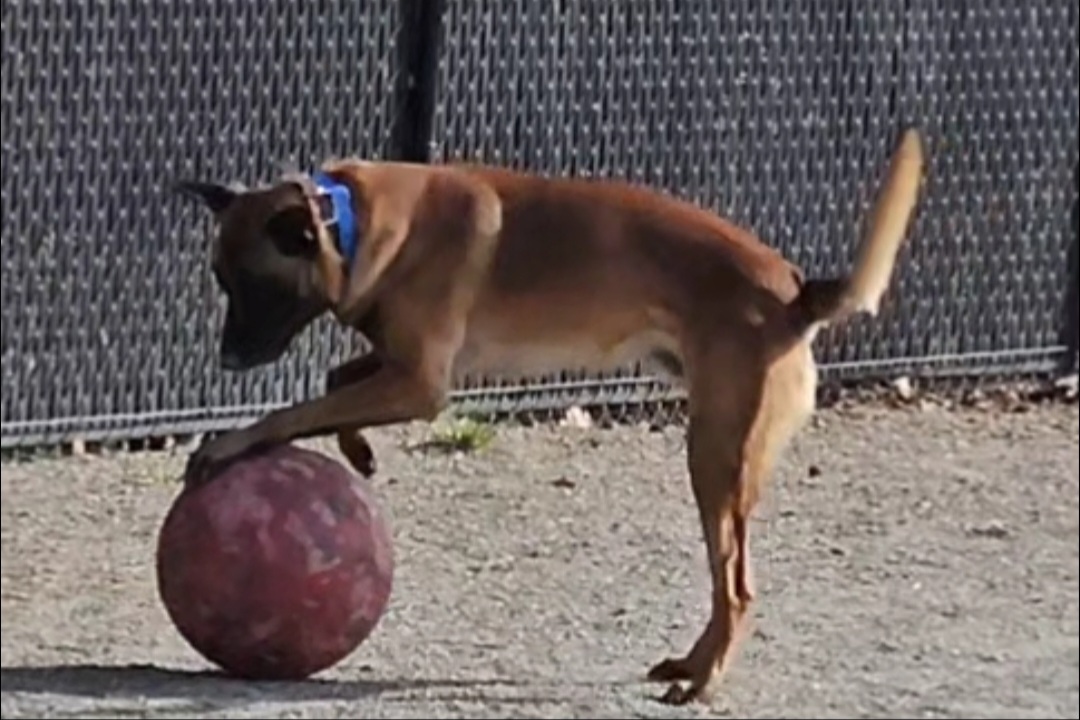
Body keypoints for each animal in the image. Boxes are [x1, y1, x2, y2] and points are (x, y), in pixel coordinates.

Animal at [172, 127, 924, 703]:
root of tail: (797, 293)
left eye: (256, 285)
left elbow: (298, 407)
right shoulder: (405, 369)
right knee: (727, 584)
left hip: (715, 459)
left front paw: (229, 445)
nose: (228, 359)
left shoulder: (420, 384)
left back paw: (702, 679)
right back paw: (689, 664)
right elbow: (332, 385)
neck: (349, 220)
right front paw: (357, 448)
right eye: (221, 280)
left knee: (737, 588)